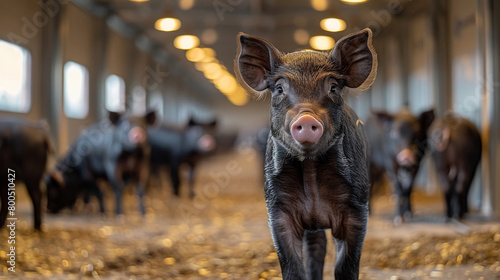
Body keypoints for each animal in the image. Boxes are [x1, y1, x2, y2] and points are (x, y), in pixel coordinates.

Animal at [236, 28, 376, 280]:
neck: (310, 169)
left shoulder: (358, 206)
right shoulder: (276, 209)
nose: (307, 118)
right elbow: (292, 267)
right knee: (315, 248)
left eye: (333, 88)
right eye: (279, 89)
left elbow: (345, 266)